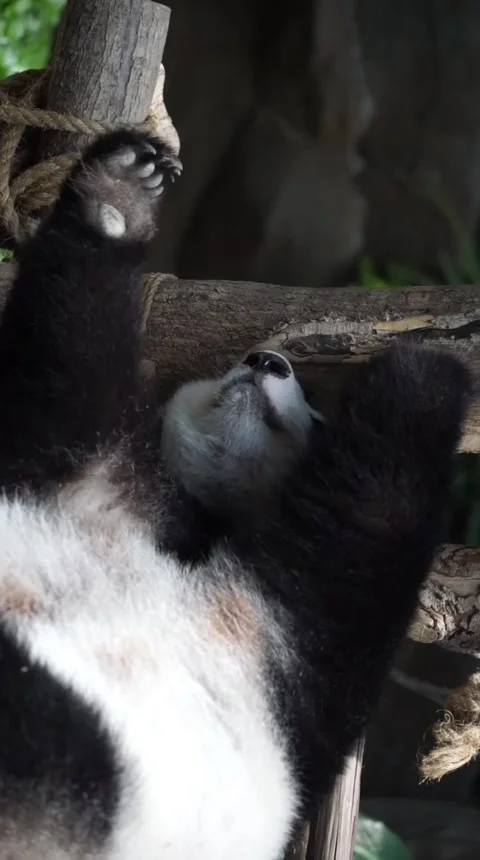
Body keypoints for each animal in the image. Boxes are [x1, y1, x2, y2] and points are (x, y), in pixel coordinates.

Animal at [0, 129, 470, 859]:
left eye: (318, 416)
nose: (267, 361)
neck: (198, 520)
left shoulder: (260, 657)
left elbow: (357, 551)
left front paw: (425, 370)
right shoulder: (93, 487)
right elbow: (65, 374)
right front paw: (121, 193)